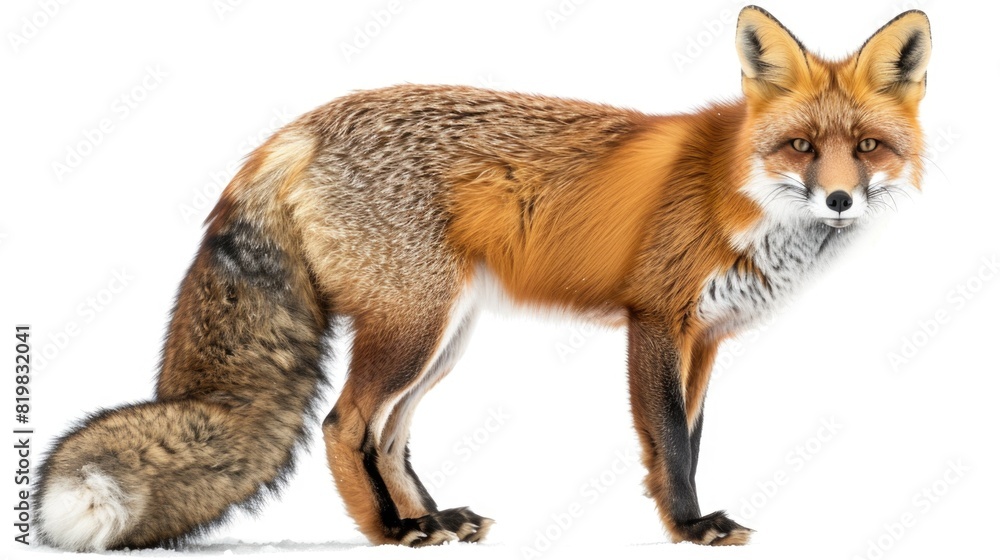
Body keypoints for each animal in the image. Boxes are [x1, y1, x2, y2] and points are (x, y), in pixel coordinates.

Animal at [35, 5, 931, 551]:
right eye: (802, 147)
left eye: (868, 147)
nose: (841, 199)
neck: (735, 192)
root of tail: (300, 127)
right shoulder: (654, 320)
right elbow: (672, 444)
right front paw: (689, 526)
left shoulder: (704, 338)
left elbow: (691, 435)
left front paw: (686, 523)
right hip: (413, 329)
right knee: (342, 424)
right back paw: (389, 534)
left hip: (445, 339)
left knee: (388, 436)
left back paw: (432, 517)